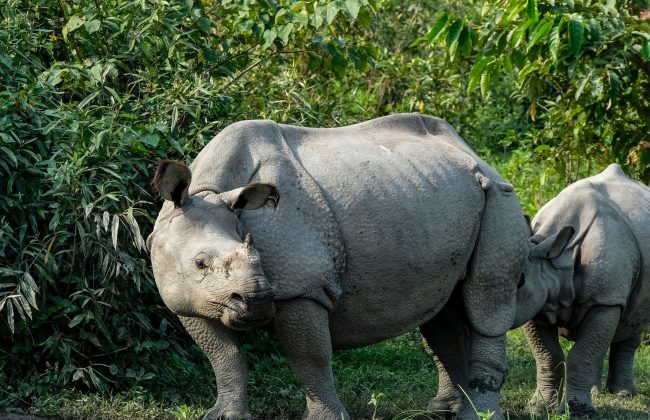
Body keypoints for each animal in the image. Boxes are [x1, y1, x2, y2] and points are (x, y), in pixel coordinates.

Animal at [147, 113, 529, 419]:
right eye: (200, 263)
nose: (256, 301)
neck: (208, 191)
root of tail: (476, 155)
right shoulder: (188, 300)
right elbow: (224, 358)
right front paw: (224, 416)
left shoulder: (302, 286)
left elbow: (310, 357)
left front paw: (326, 419)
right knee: (443, 312)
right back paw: (443, 409)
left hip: (500, 196)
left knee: (486, 303)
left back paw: (478, 416)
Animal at [513, 164, 650, 416]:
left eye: (519, 281)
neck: (556, 261)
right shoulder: (537, 304)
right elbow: (548, 356)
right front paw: (538, 409)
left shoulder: (606, 297)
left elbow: (581, 354)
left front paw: (577, 412)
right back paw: (596, 392)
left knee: (632, 321)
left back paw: (622, 394)